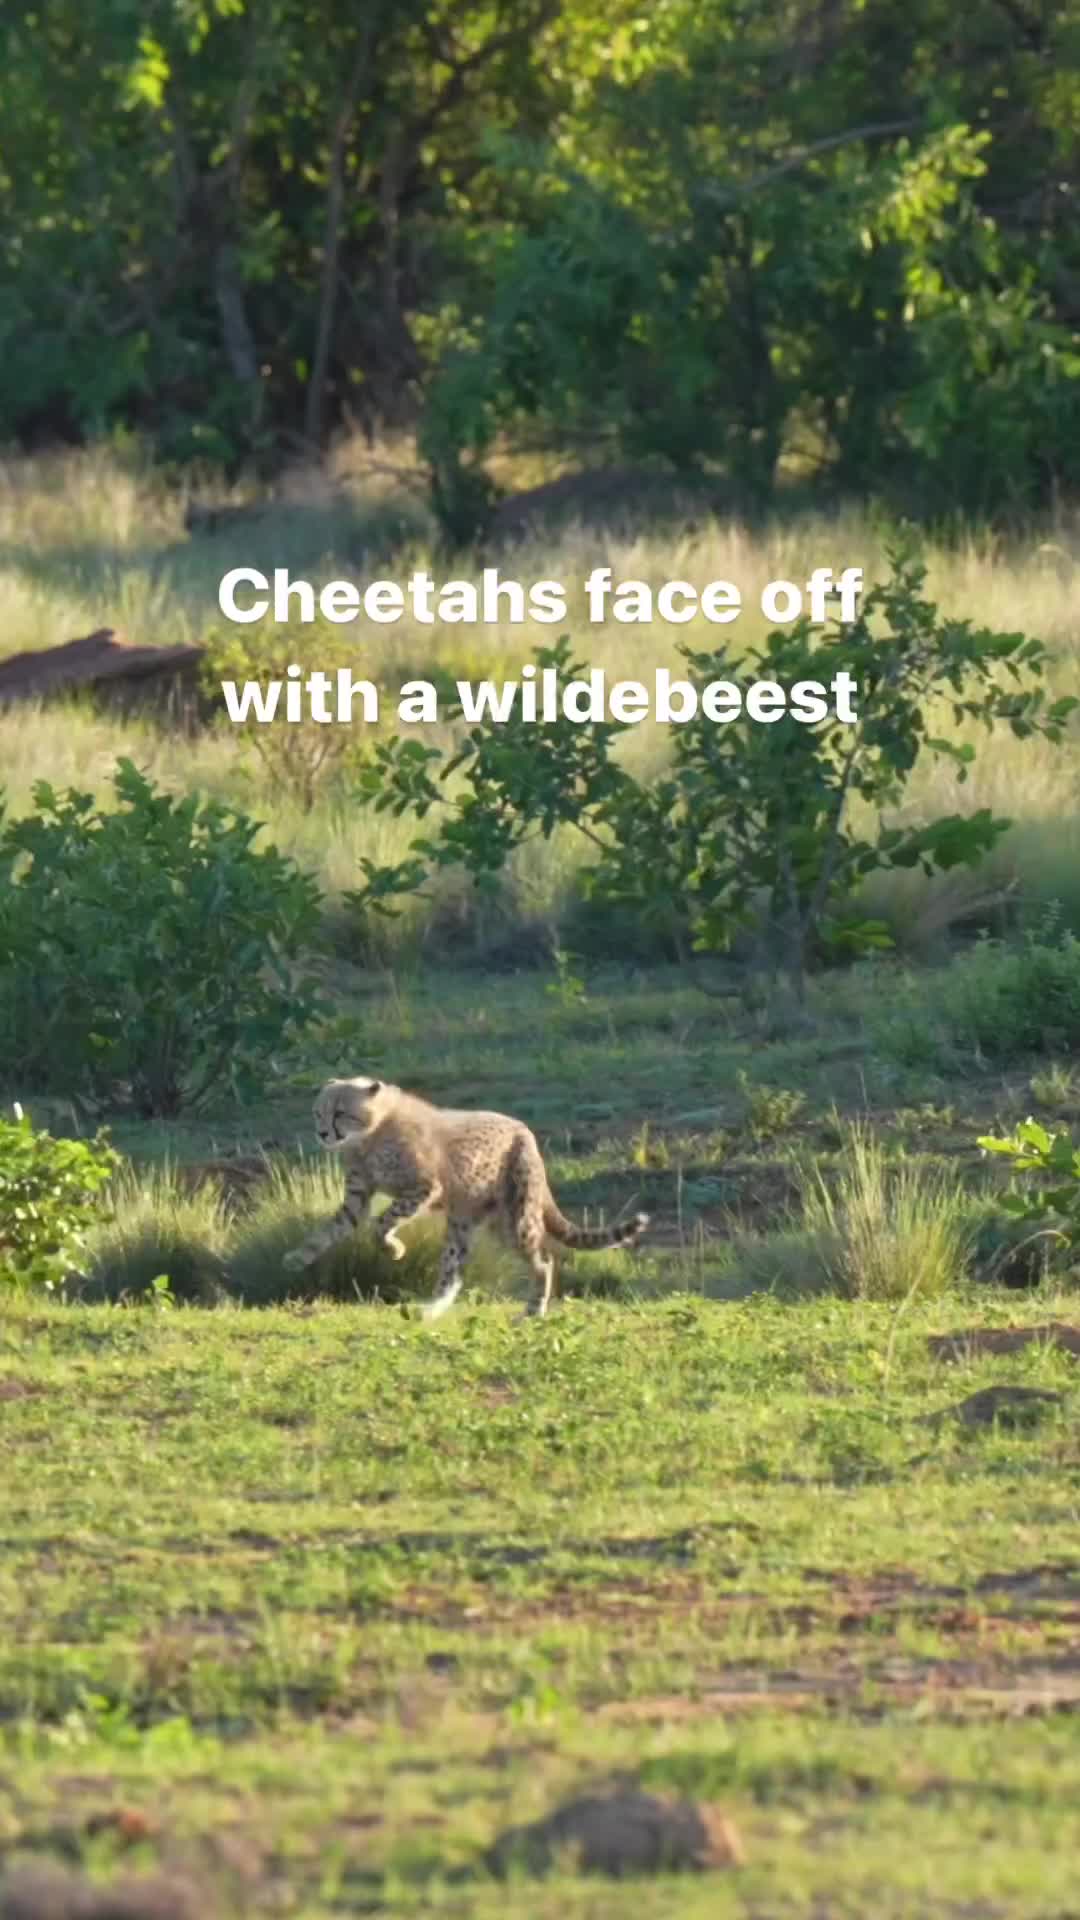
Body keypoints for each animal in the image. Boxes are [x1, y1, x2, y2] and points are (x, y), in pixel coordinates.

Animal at [282, 1082, 641, 1320]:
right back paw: (431, 1310)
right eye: (318, 1113)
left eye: (341, 1113)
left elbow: (381, 1223)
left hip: (516, 1221)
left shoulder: (425, 1189)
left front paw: (393, 1249)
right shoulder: (358, 1198)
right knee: (453, 1271)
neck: (371, 1132)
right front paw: (298, 1257)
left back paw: (532, 1311)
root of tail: (524, 1129)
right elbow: (330, 1230)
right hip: (468, 1223)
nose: (322, 1133)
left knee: (543, 1262)